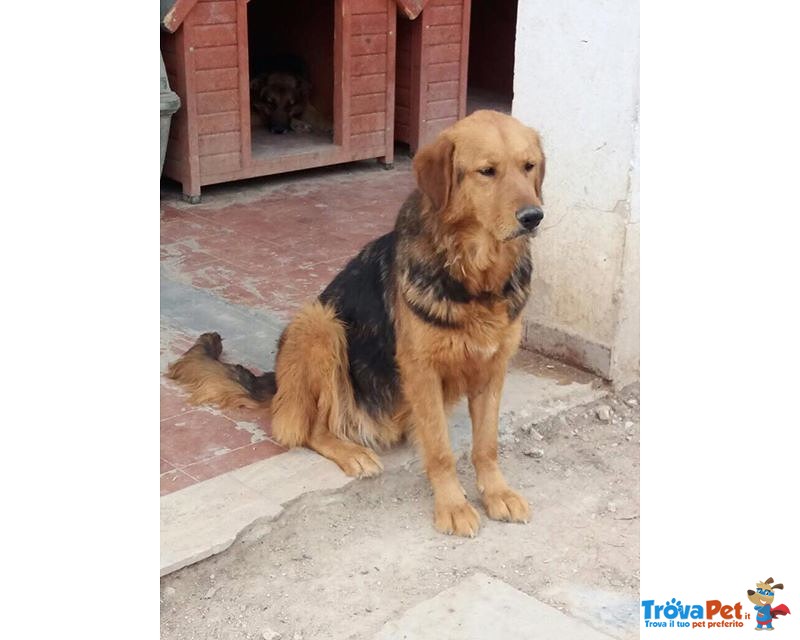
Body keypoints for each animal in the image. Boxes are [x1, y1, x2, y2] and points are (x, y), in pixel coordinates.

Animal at [168, 111, 544, 540]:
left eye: (529, 166)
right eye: (487, 171)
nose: (533, 217)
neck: (477, 280)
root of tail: (277, 381)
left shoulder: (493, 368)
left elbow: (486, 445)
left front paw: (497, 493)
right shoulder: (423, 371)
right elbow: (440, 450)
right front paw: (452, 505)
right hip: (319, 323)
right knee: (308, 428)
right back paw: (352, 453)